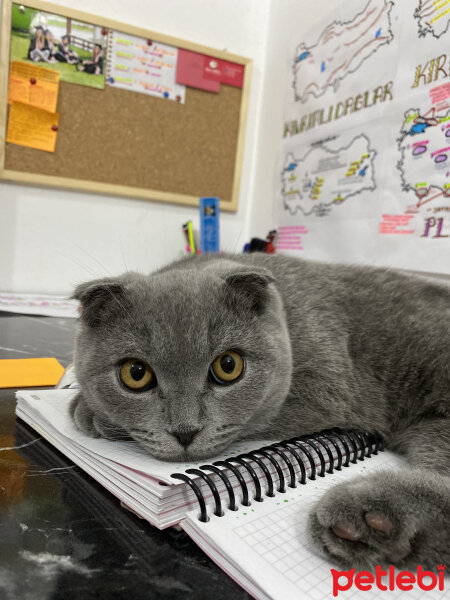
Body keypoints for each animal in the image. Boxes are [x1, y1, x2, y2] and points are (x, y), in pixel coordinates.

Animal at [70, 254, 450, 572]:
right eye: (135, 373)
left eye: (228, 366)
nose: (185, 430)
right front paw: (85, 406)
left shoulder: (325, 387)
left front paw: (90, 413)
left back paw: (369, 517)